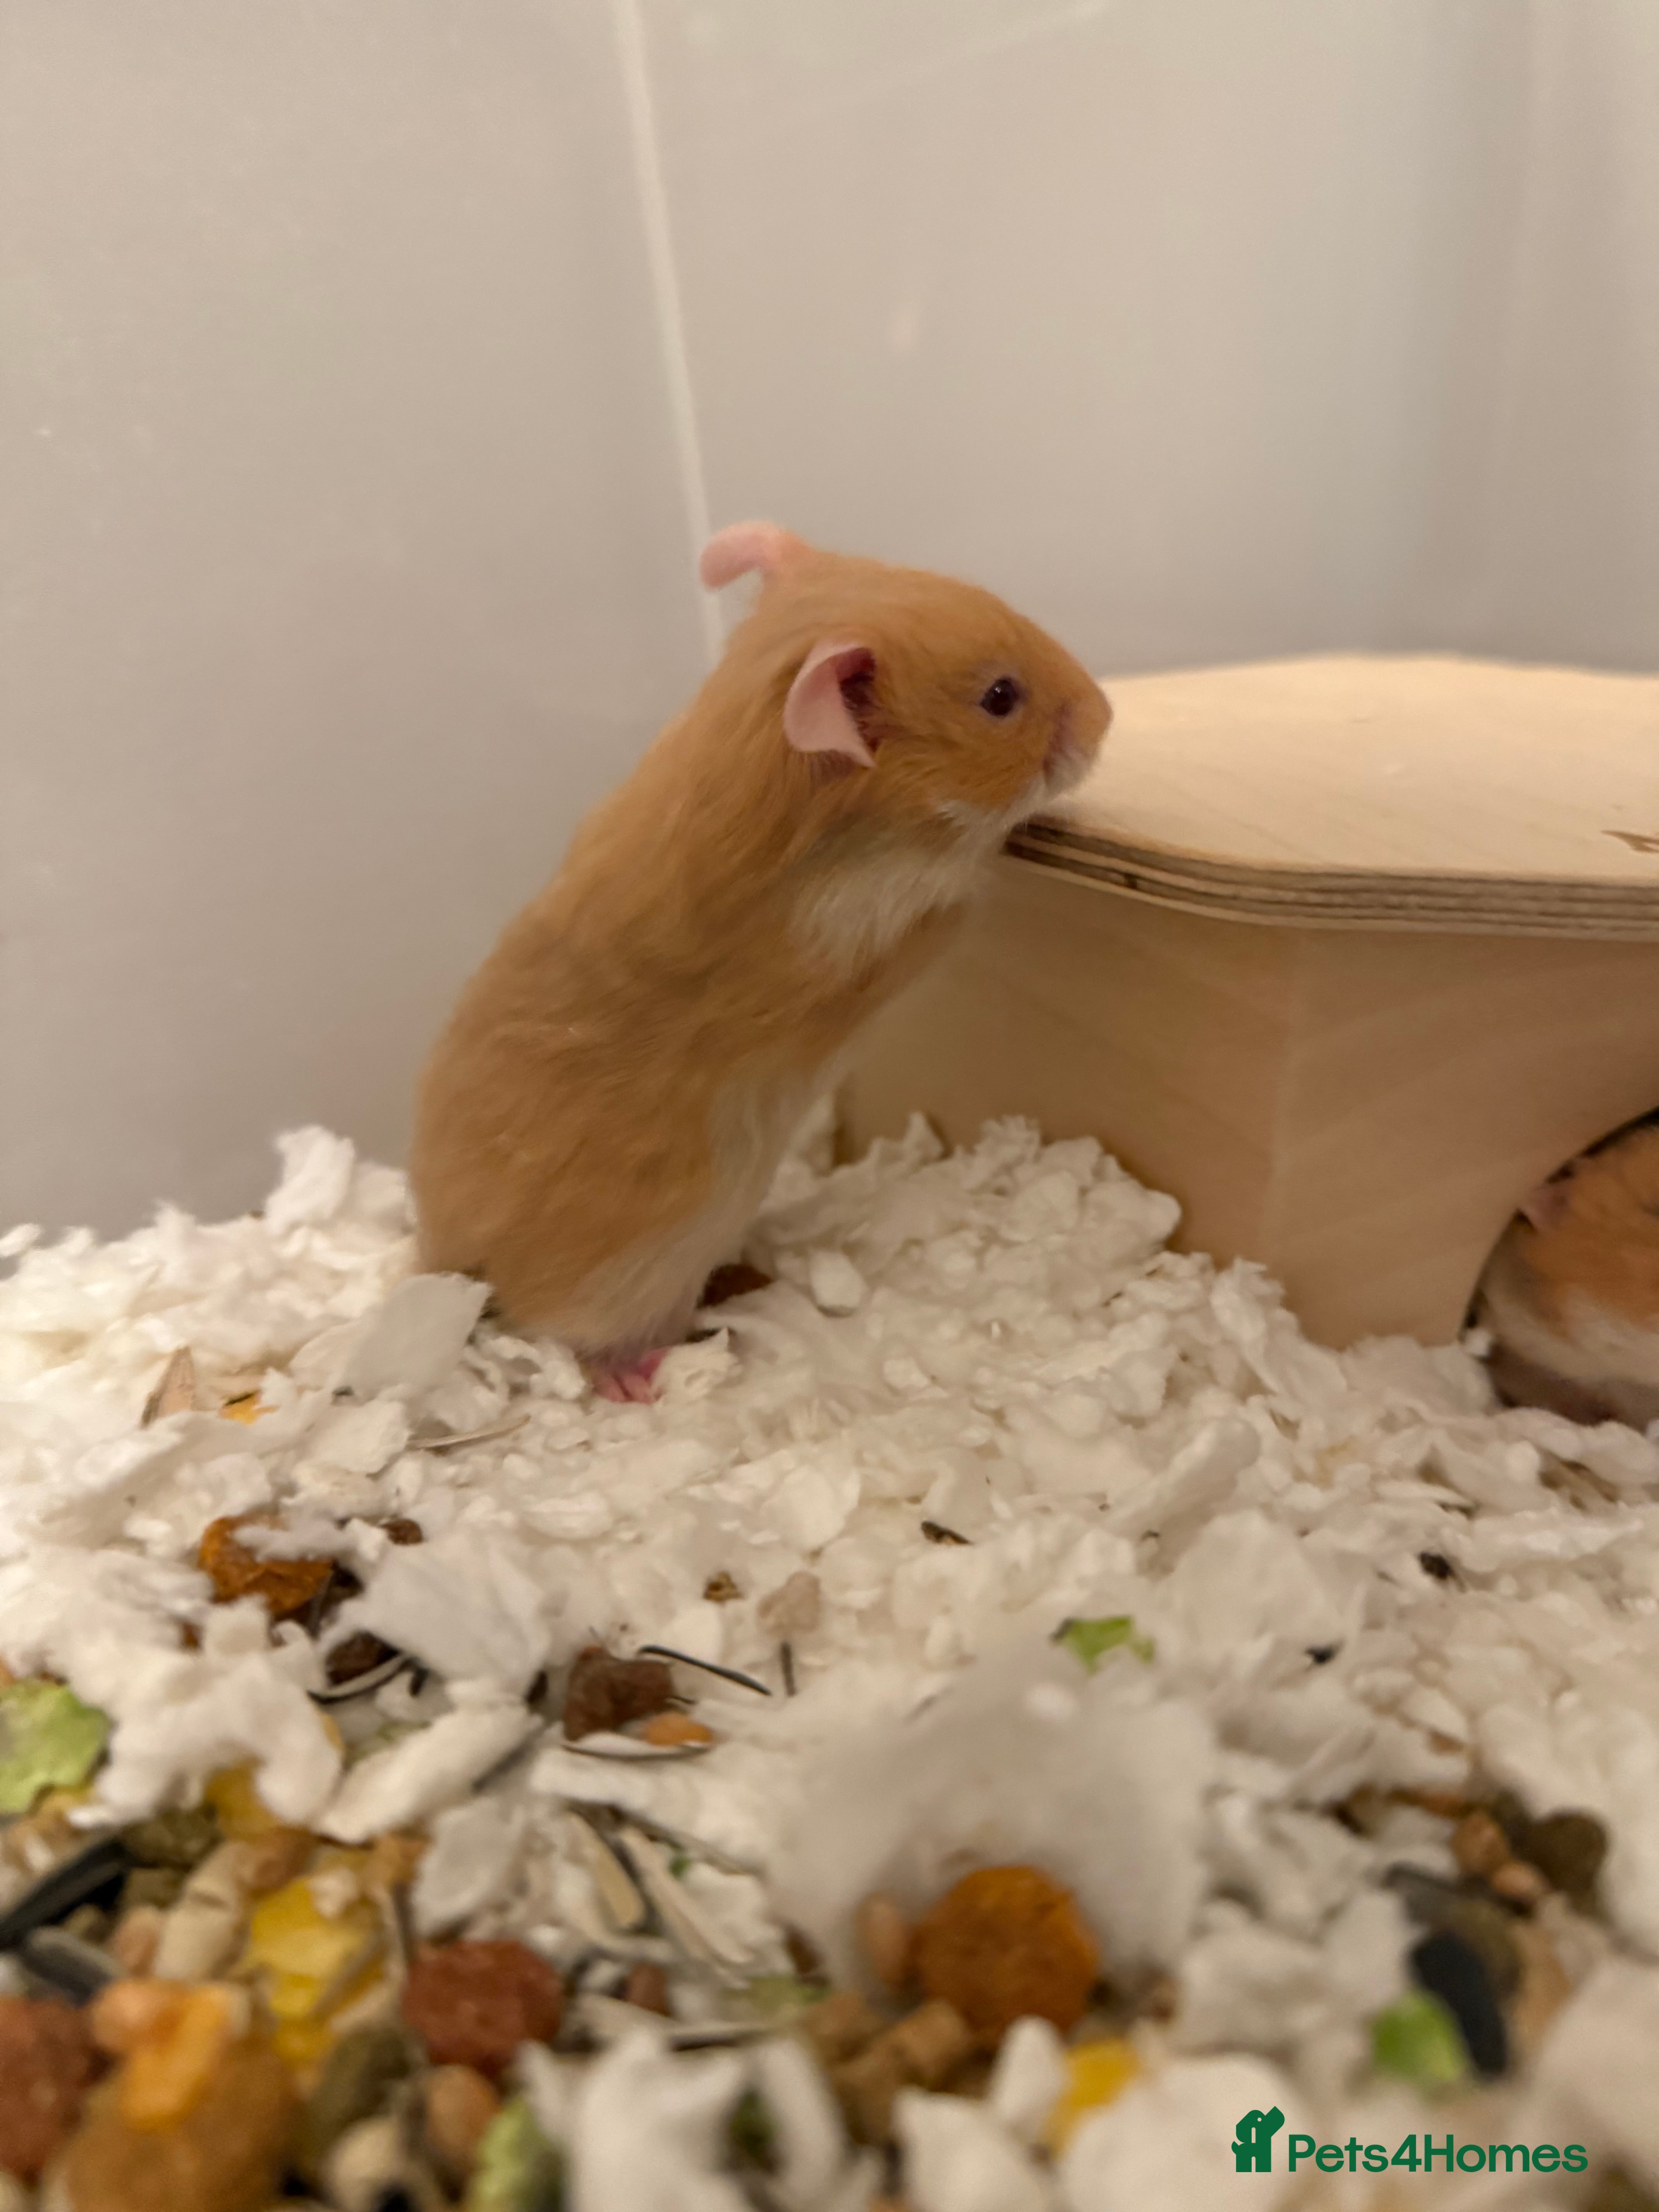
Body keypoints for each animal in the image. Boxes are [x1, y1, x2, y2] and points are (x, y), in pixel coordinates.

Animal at [410, 520, 1111, 1399]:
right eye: (998, 698)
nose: (1107, 715)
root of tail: (440, 1265)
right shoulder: (876, 935)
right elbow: (960, 892)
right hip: (615, 1286)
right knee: (565, 1337)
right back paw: (646, 1375)